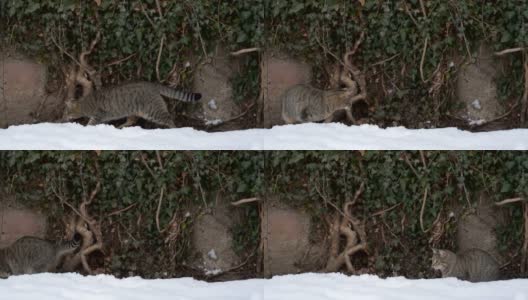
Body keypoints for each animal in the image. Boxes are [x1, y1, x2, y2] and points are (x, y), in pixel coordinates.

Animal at [64, 81, 200, 128]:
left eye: (67, 112)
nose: (64, 117)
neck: (84, 104)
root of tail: (152, 84)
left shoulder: (99, 113)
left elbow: (91, 122)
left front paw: (86, 127)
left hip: (153, 111)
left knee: (168, 118)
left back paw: (174, 129)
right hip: (133, 111)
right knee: (132, 120)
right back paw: (120, 127)